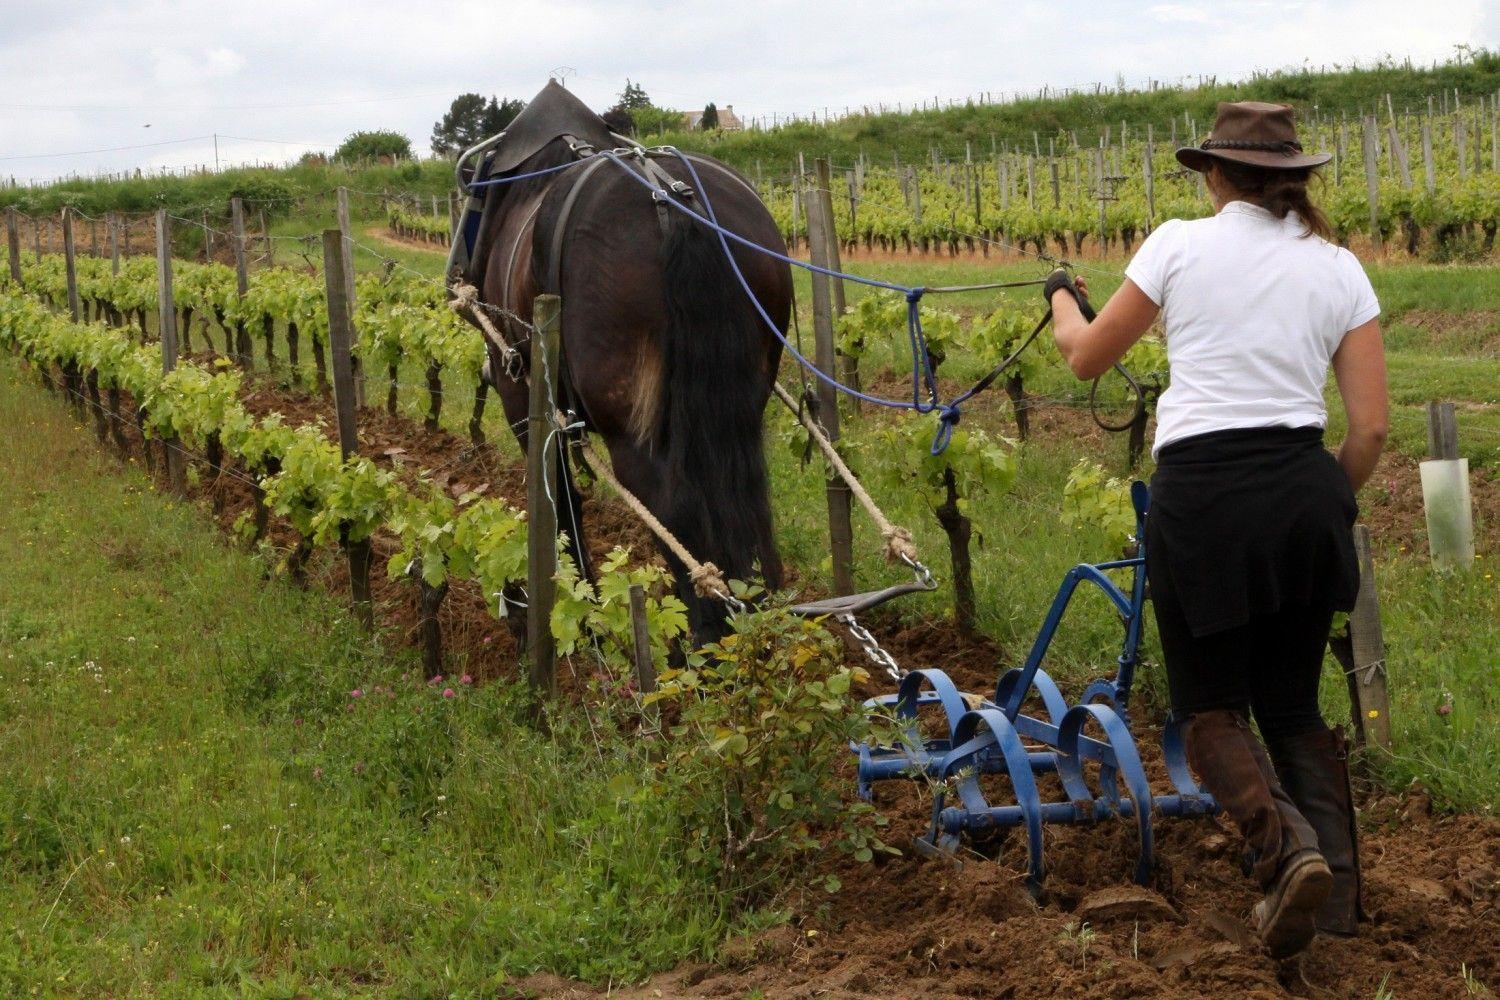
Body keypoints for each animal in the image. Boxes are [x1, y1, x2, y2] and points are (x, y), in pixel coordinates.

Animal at [459, 82, 792, 638]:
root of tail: (674, 203)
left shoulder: (521, 393)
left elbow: (558, 500)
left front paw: (572, 605)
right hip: (737, 409)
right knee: (743, 502)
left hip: (633, 431)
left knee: (675, 515)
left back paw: (700, 642)